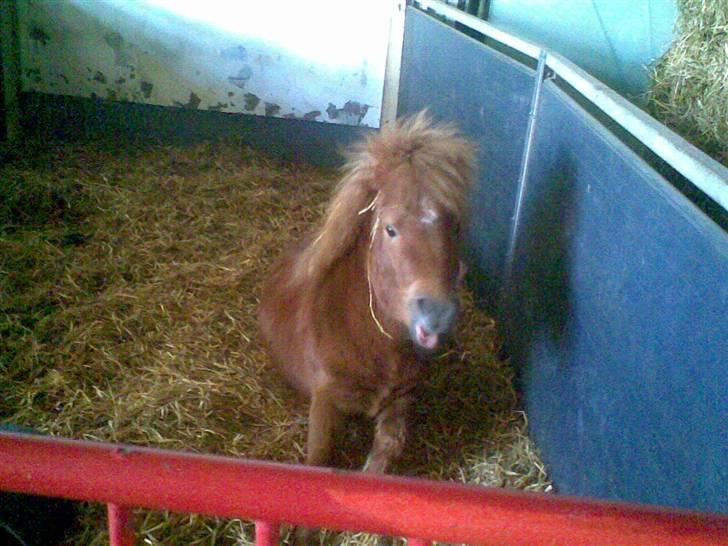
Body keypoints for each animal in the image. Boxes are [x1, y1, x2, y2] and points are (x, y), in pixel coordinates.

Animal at [260, 111, 478, 472]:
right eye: (390, 229)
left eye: (456, 227)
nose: (437, 314)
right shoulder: (324, 399)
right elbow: (319, 457)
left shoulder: (401, 398)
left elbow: (386, 450)